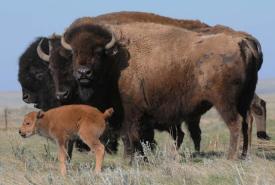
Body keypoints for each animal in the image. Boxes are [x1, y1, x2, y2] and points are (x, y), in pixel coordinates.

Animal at [61, 22, 260, 159]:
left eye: (97, 52)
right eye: (75, 53)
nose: (83, 73)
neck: (115, 61)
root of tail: (241, 42)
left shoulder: (131, 113)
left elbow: (131, 136)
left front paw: (132, 159)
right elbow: (134, 137)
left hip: (224, 102)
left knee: (235, 123)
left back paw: (231, 157)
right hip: (244, 98)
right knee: (246, 122)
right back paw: (244, 155)